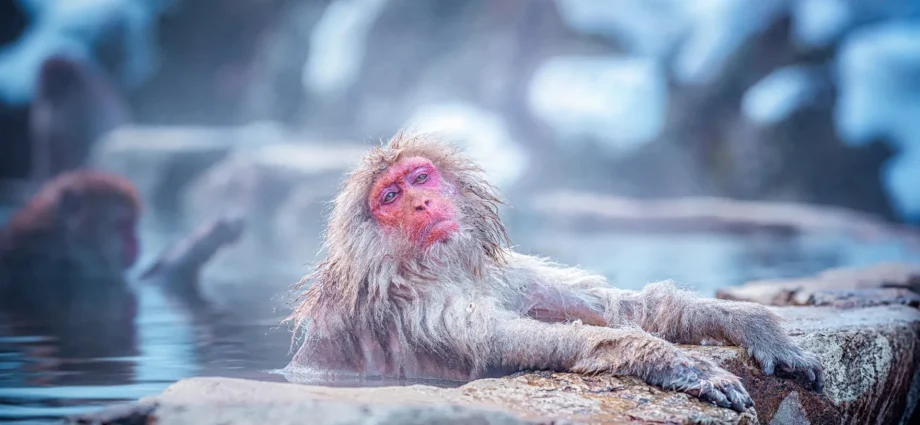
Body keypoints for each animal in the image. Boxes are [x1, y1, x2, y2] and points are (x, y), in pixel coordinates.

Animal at [284, 132, 825, 412]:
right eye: (391, 196)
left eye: (420, 177)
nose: (421, 203)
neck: (439, 270)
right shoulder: (419, 309)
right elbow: (506, 343)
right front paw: (675, 362)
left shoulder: (503, 275)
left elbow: (618, 308)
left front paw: (754, 324)